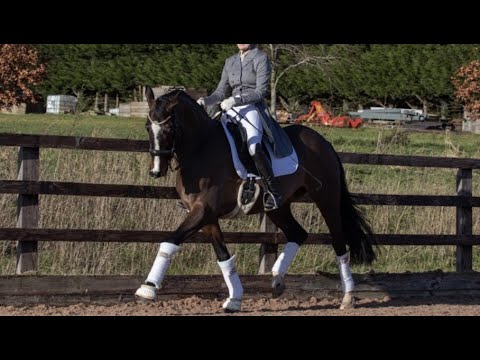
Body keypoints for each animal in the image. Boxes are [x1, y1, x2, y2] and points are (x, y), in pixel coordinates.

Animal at [134, 87, 376, 312]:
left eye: (169, 129)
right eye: (147, 127)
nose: (156, 171)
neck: (201, 149)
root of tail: (322, 141)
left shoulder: (203, 210)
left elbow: (170, 240)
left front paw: (148, 288)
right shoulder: (206, 216)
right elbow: (223, 255)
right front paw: (234, 299)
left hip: (326, 199)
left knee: (338, 242)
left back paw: (347, 297)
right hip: (278, 208)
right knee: (298, 233)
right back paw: (277, 280)